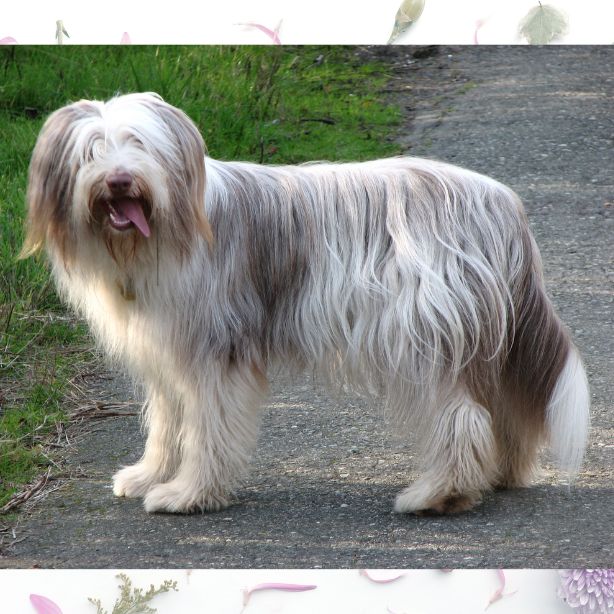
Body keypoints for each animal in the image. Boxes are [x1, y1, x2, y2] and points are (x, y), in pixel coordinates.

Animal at [22, 91, 592, 516]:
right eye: (92, 150)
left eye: (139, 145)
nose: (120, 179)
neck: (160, 235)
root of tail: (503, 203)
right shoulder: (167, 351)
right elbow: (166, 423)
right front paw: (149, 475)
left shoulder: (216, 351)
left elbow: (207, 427)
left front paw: (189, 494)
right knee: (502, 403)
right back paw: (497, 474)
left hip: (423, 334)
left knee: (460, 414)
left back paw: (439, 494)